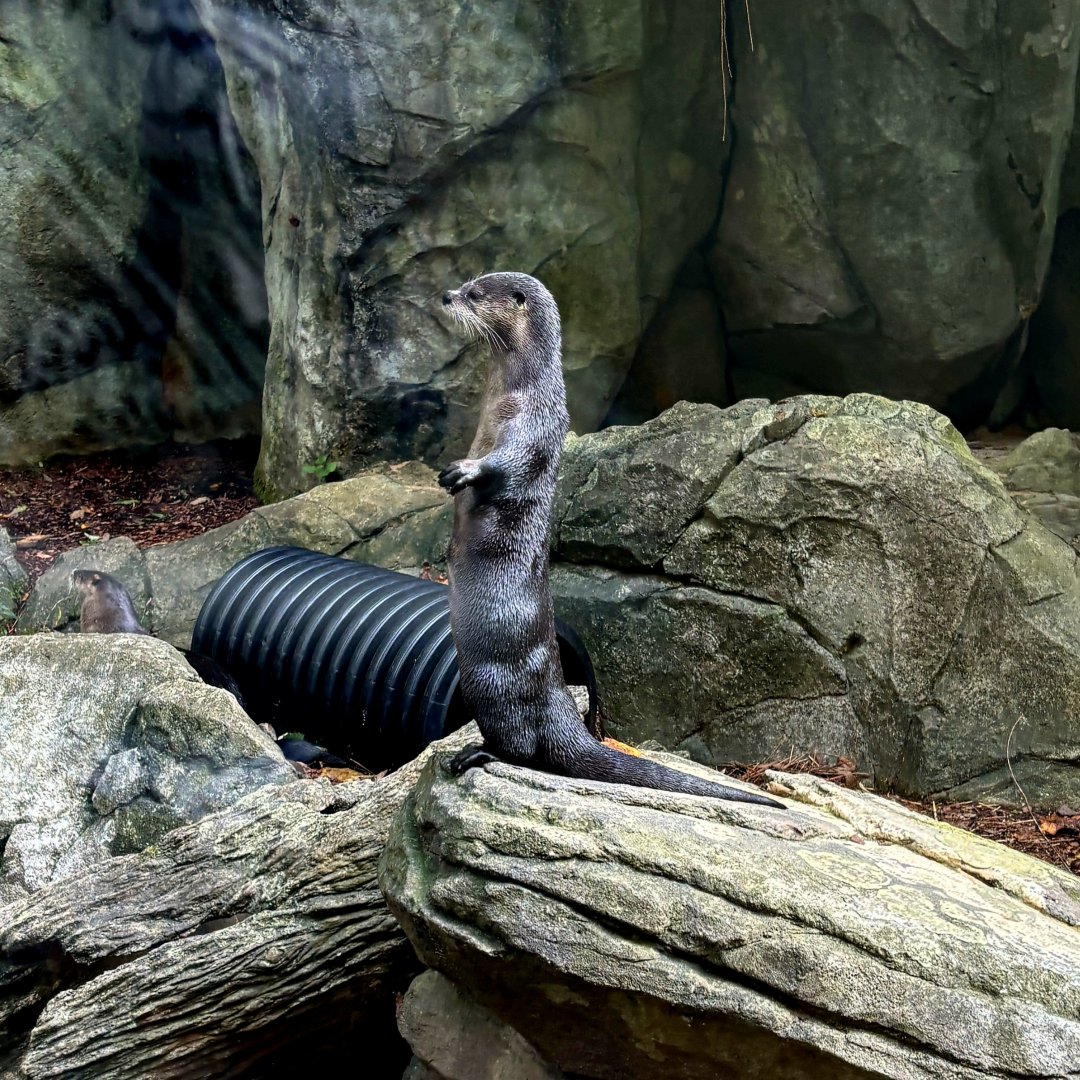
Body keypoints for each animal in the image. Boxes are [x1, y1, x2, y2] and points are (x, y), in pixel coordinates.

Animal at [438, 272, 782, 808]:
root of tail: (561, 708)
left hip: (496, 685)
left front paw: (467, 471)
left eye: (475, 293)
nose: (447, 295)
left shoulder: (534, 426)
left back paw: (477, 753)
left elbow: (509, 464)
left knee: (524, 747)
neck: (513, 394)